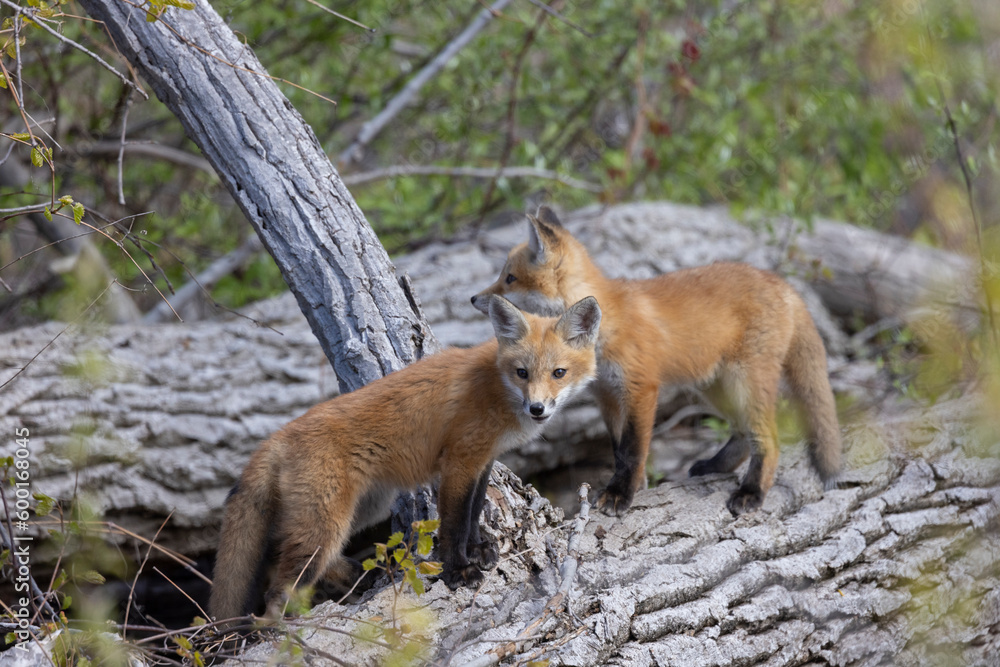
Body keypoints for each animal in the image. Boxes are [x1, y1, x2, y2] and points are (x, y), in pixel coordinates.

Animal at [209, 294, 602, 621]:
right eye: (522, 373)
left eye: (558, 373)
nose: (537, 409)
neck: (495, 387)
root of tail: (278, 435)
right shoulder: (459, 462)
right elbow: (454, 524)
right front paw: (458, 570)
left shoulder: (481, 460)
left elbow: (474, 513)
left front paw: (477, 548)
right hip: (327, 523)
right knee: (278, 587)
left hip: (362, 510)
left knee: (288, 556)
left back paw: (354, 576)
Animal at [471, 206, 841, 517]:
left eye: (509, 278)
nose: (474, 298)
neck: (608, 325)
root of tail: (781, 282)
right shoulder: (607, 394)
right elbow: (619, 450)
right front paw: (634, 487)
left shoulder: (641, 388)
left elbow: (634, 449)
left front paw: (621, 495)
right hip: (714, 388)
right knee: (742, 432)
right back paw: (714, 467)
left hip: (743, 383)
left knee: (769, 438)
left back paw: (752, 492)